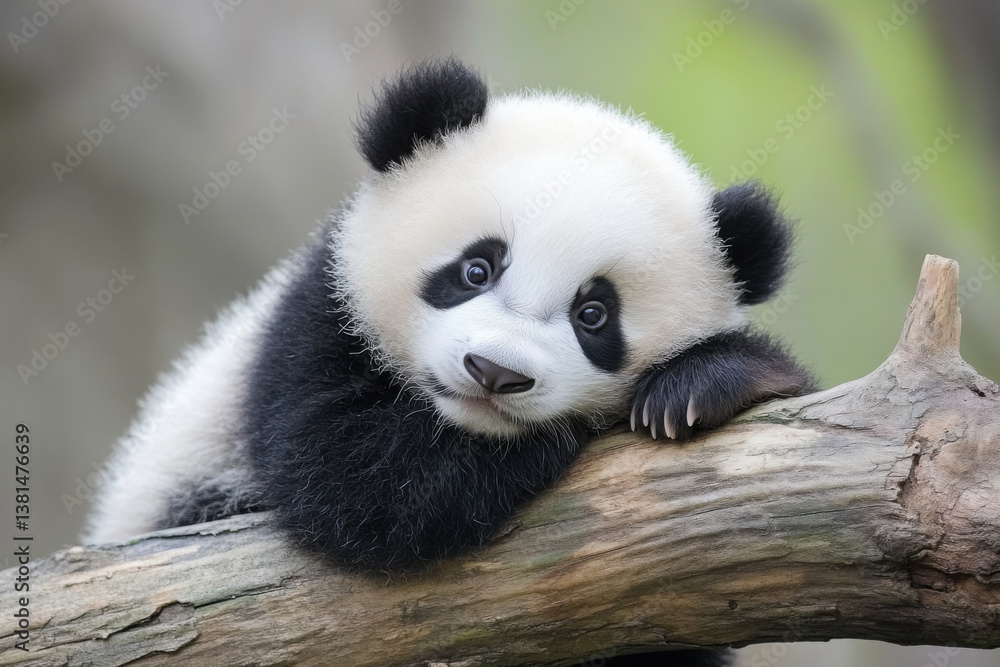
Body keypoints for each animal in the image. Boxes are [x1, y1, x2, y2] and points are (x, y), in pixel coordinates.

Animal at [85, 58, 813, 666]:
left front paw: (711, 381)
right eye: (476, 268)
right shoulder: (316, 316)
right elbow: (356, 474)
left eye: (594, 315)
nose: (494, 372)